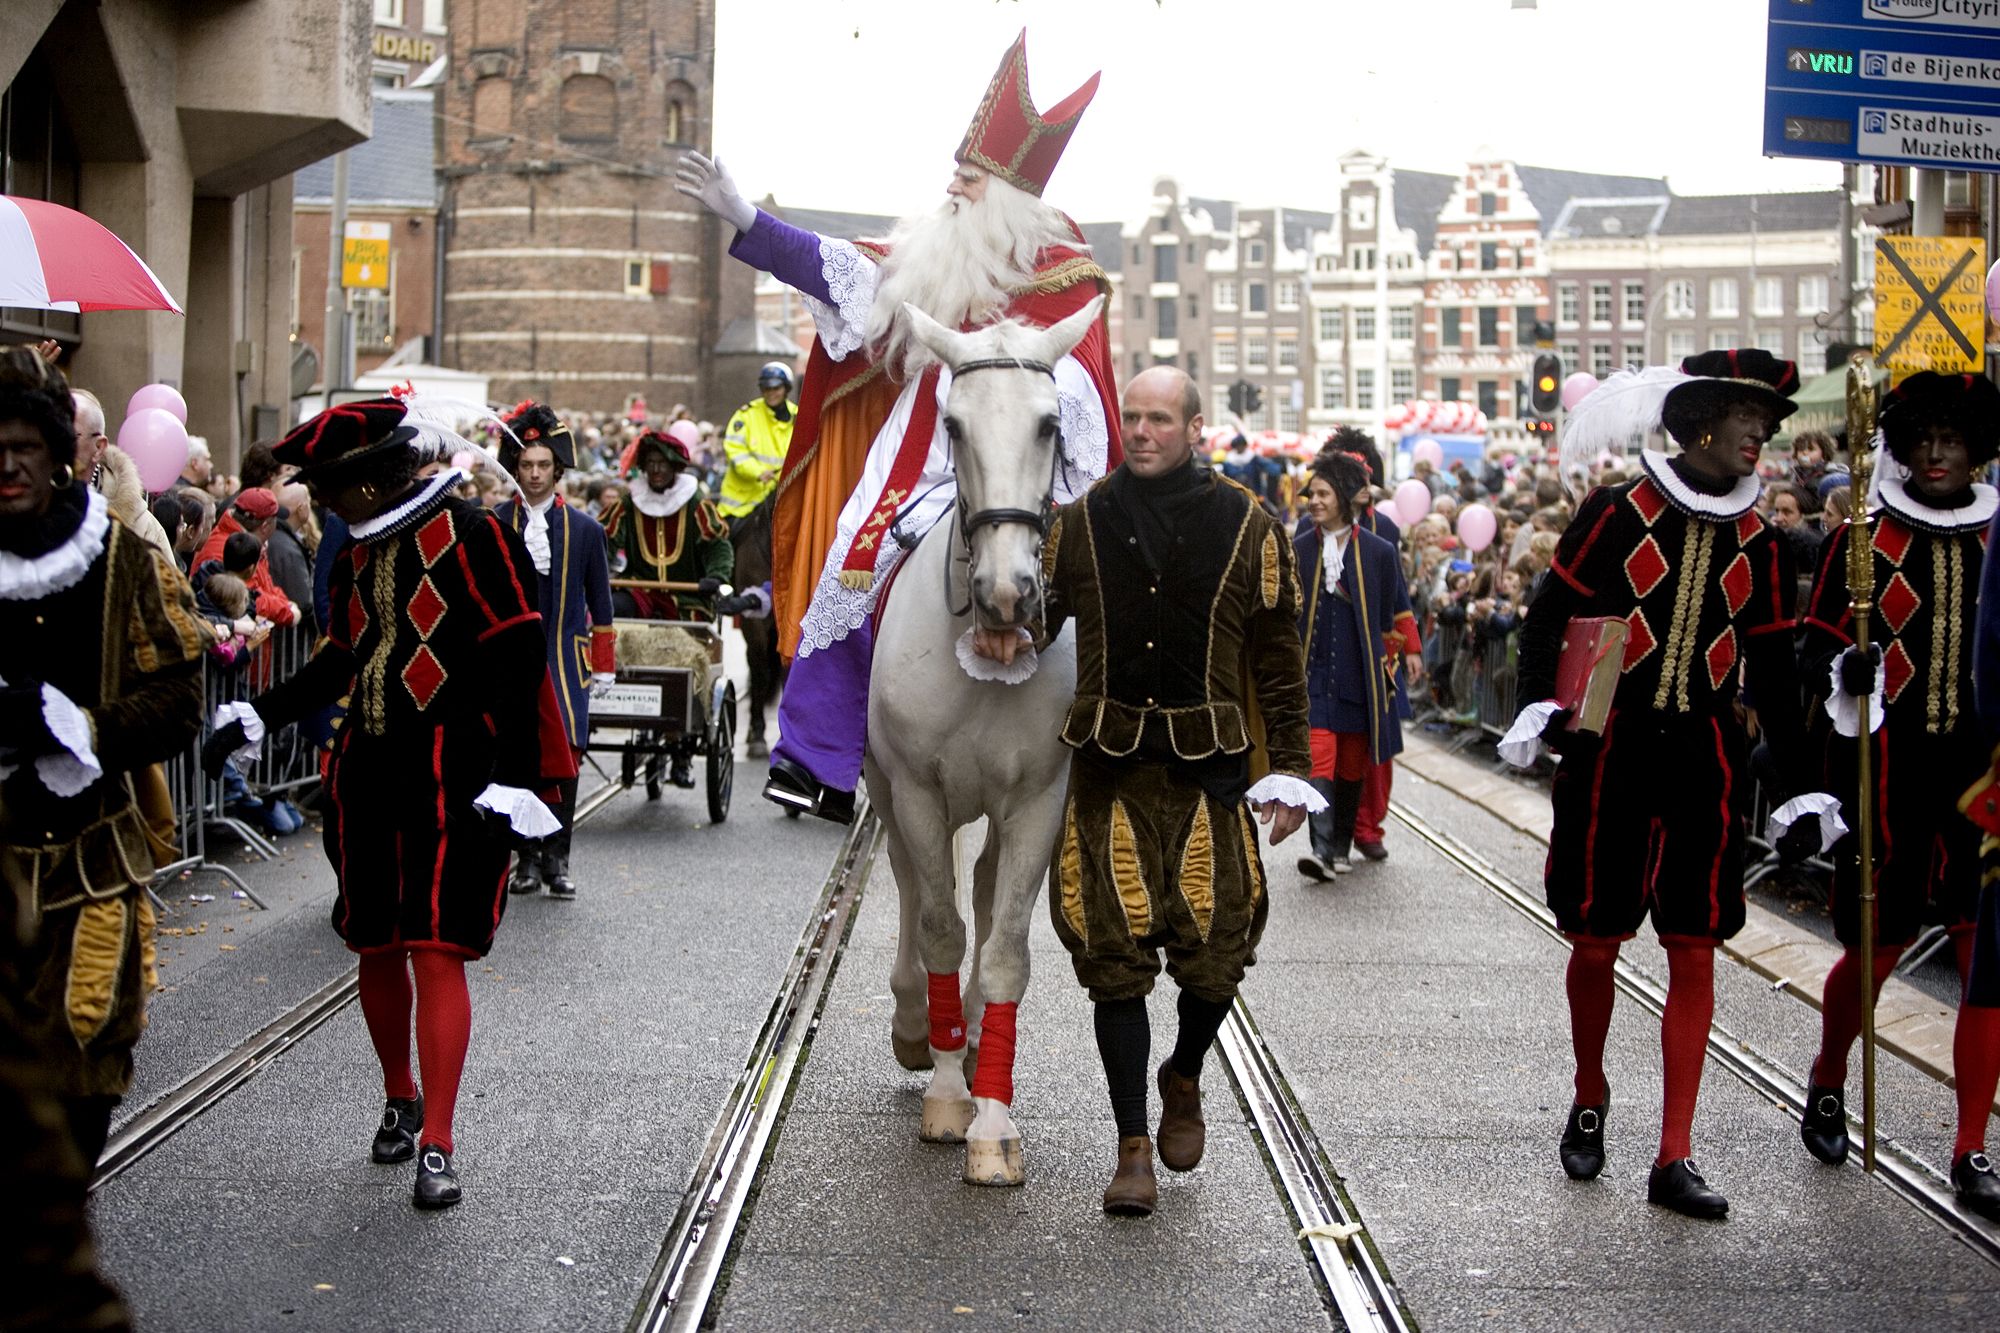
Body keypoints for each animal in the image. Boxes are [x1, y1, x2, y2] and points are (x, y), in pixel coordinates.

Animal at [868, 294, 1104, 1184]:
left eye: (1049, 423)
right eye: (953, 423)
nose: (1009, 593)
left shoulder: (1039, 799)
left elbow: (1004, 948)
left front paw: (992, 1121)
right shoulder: (917, 790)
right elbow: (939, 924)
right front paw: (943, 1094)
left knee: (980, 886)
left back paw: (968, 1039)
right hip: (889, 791)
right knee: (914, 888)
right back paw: (921, 1028)